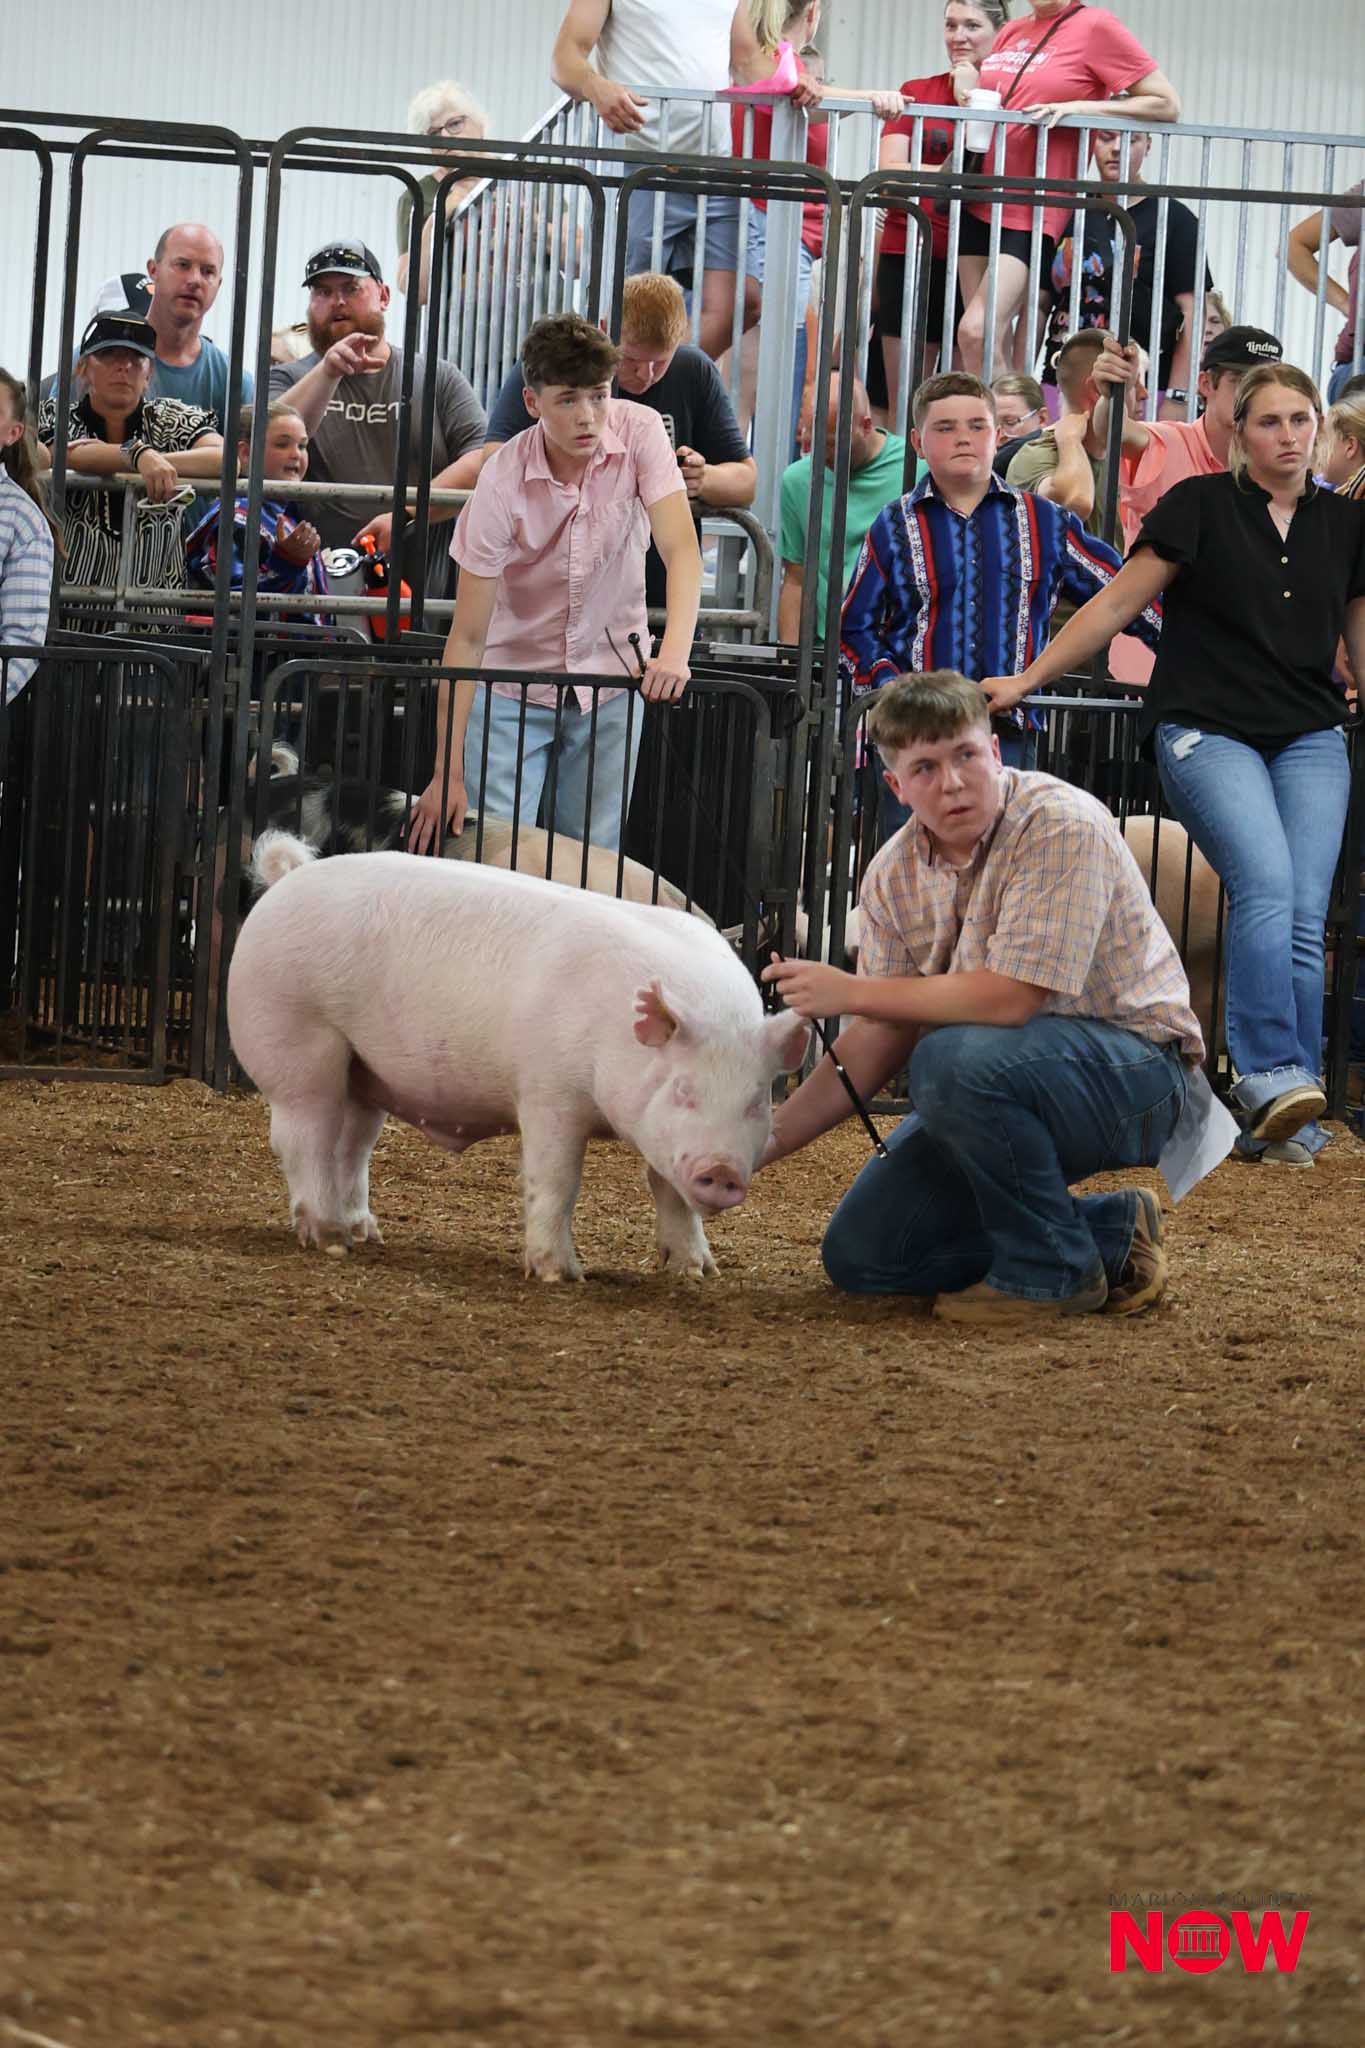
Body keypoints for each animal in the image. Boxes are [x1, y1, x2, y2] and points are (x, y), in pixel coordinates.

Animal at [226, 834, 810, 1281]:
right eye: (685, 1091)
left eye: (757, 1103)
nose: (722, 1170)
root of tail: (289, 878)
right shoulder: (547, 1093)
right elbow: (555, 1179)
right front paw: (561, 1275)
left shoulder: (660, 1136)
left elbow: (668, 1189)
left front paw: (697, 1272)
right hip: (297, 1037)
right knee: (302, 1135)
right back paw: (330, 1240)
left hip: (363, 1070)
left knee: (352, 1144)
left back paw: (366, 1232)